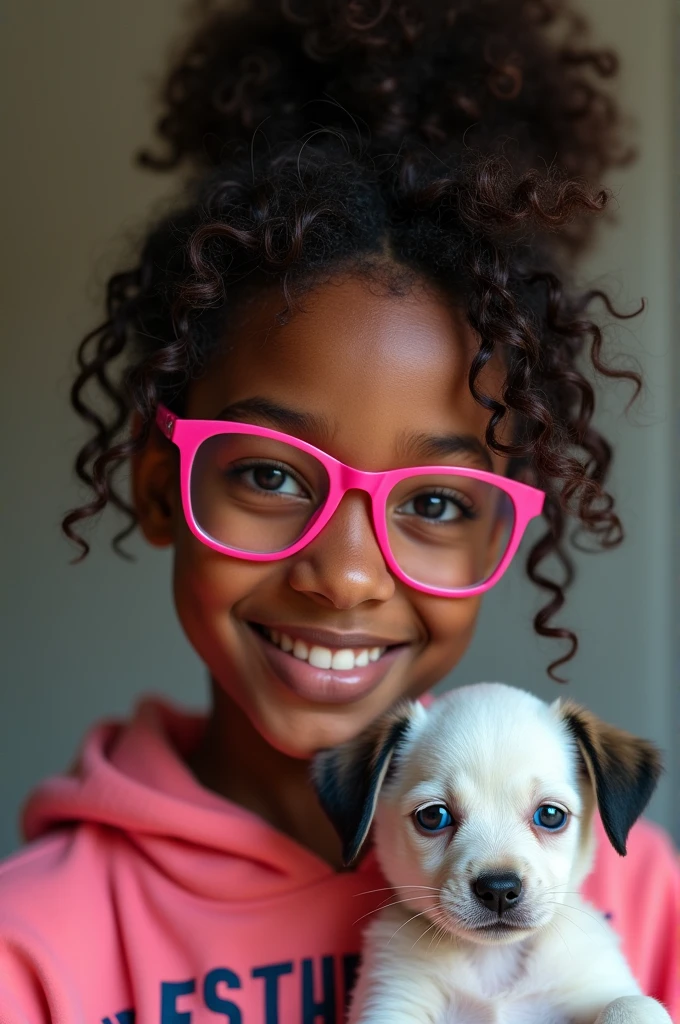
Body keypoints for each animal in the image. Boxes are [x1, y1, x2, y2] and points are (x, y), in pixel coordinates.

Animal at [315, 679, 675, 1024]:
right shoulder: (392, 1001)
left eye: (550, 815)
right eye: (433, 816)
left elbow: (632, 1004)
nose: (499, 890)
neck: (495, 960)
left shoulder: (595, 984)